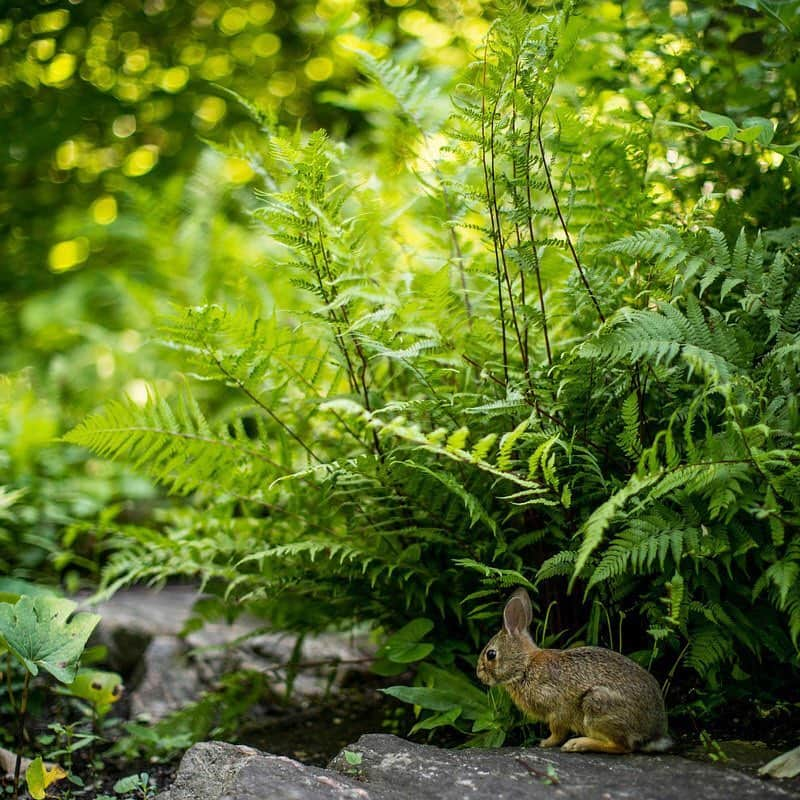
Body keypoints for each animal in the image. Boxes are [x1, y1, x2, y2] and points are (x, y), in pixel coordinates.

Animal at [478, 584, 672, 752]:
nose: (479, 675)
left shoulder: (556, 709)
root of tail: (654, 734)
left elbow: (557, 731)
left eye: (491, 654)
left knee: (622, 747)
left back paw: (577, 744)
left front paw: (545, 743)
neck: (525, 666)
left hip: (596, 705)